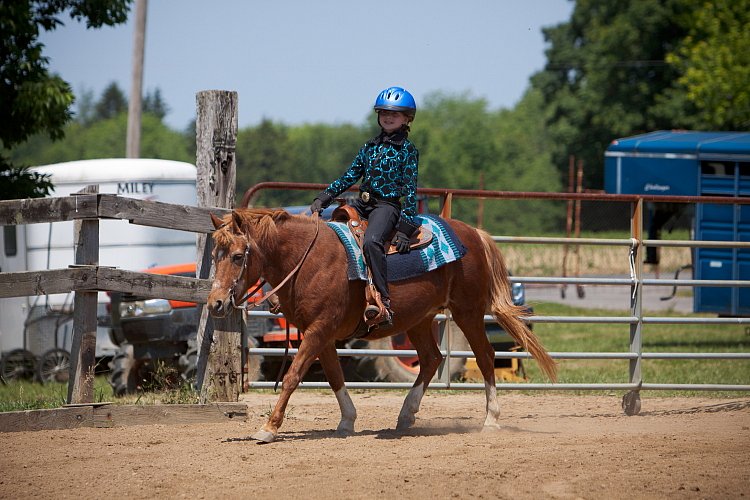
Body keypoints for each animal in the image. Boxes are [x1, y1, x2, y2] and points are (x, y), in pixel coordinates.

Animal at [209, 208, 556, 442]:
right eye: (215, 255)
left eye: (238, 256)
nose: (216, 303)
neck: (308, 261)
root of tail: (474, 233)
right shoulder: (321, 332)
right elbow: (334, 376)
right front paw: (347, 421)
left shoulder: (319, 329)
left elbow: (293, 376)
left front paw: (268, 427)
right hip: (419, 319)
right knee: (432, 358)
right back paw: (406, 414)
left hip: (467, 312)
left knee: (484, 356)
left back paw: (491, 419)